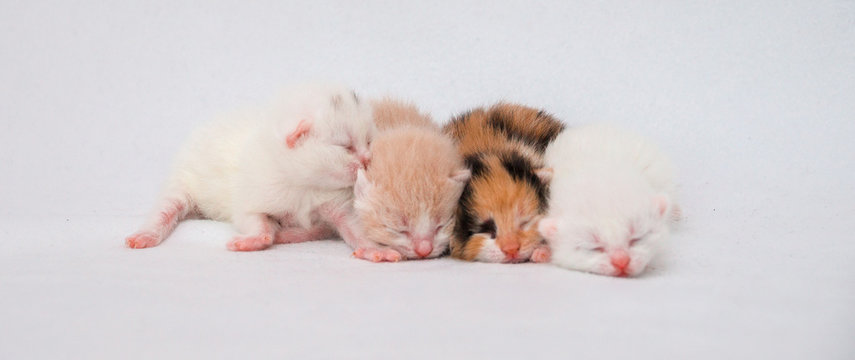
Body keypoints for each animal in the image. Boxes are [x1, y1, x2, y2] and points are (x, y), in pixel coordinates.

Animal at [124, 83, 374, 252]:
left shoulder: (334, 202)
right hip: (183, 180)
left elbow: (352, 224)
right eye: (346, 146)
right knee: (166, 207)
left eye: (369, 141)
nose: (367, 160)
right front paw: (255, 238)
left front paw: (373, 250)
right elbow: (253, 220)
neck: (303, 183)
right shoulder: (251, 197)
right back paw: (144, 235)